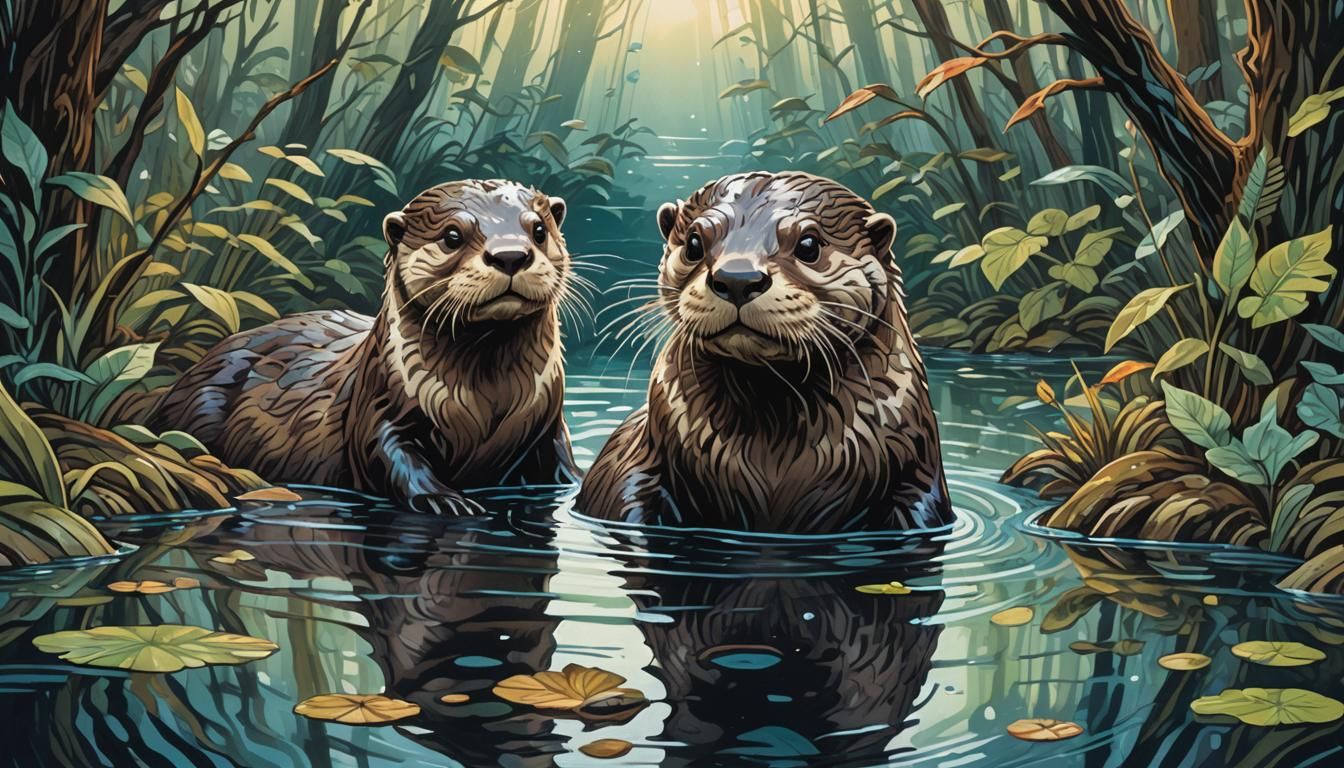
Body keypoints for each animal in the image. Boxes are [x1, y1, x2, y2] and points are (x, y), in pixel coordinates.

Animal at [151, 179, 578, 513]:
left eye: (539, 230)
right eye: (452, 236)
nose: (511, 255)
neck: (487, 404)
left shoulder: (547, 424)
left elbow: (563, 469)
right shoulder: (380, 402)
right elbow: (385, 453)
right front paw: (443, 498)